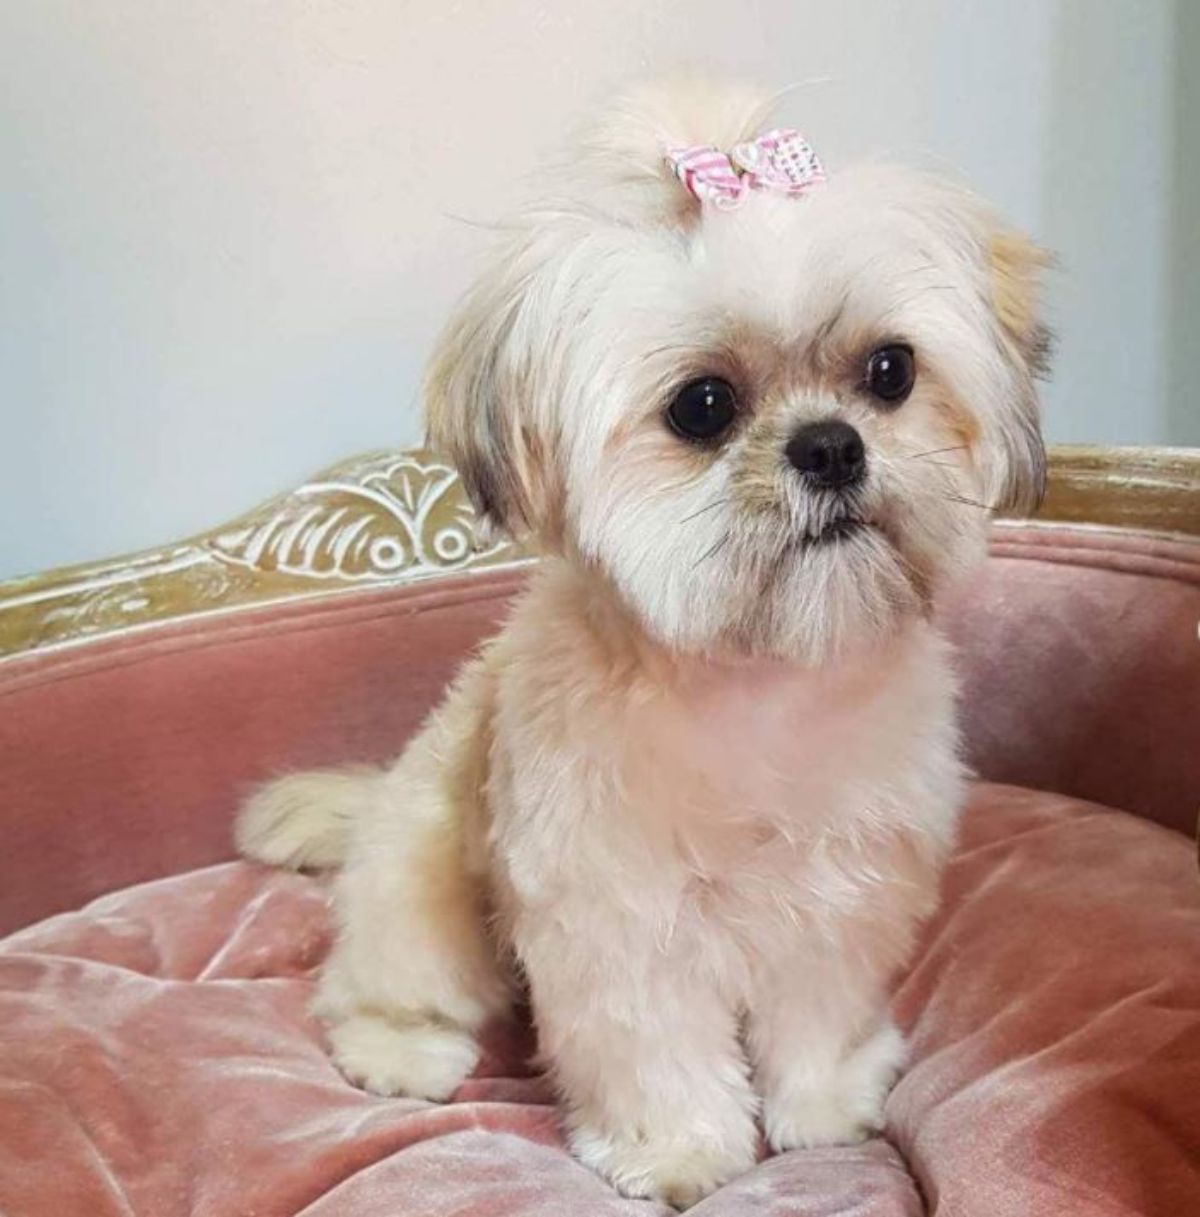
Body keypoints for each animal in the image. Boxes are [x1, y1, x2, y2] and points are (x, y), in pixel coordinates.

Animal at [238, 80, 1041, 1212]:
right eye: (703, 405)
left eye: (890, 370)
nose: (831, 445)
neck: (757, 686)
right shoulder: (620, 924)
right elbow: (655, 1048)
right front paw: (679, 1151)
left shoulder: (837, 899)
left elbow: (816, 1012)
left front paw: (824, 1105)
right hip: (423, 898)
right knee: (369, 993)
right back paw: (404, 1052)